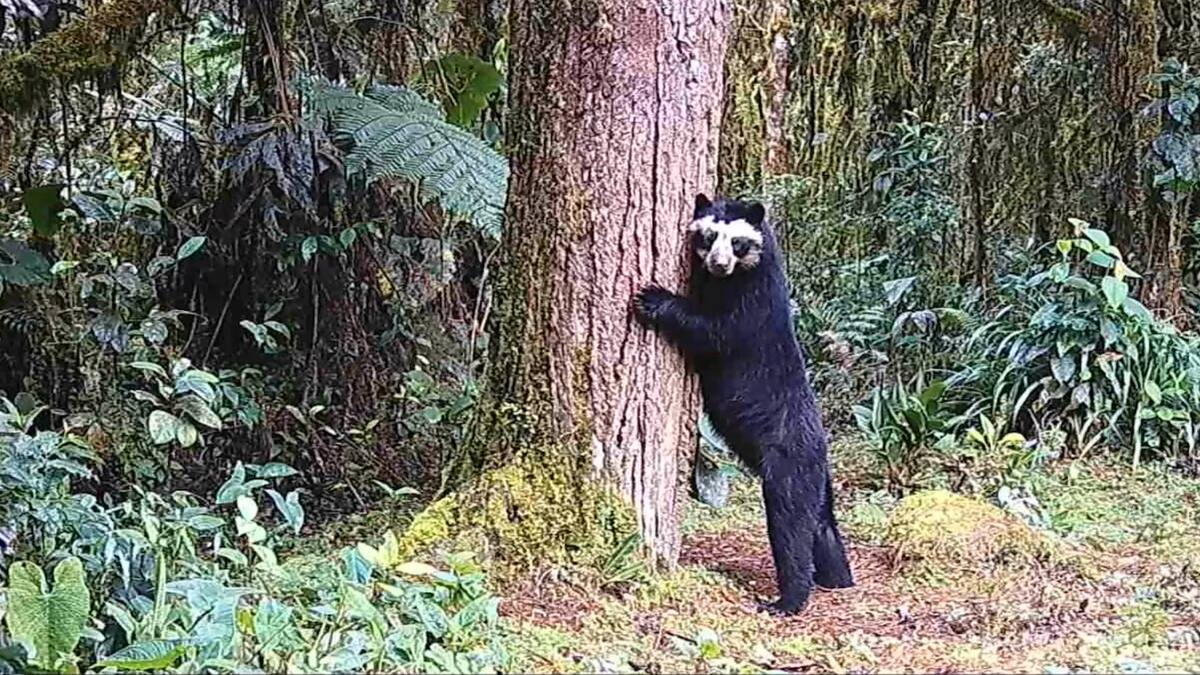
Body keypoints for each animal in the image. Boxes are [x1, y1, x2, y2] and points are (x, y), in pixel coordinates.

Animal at [633, 193, 854, 615]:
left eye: (737, 242)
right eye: (708, 235)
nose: (718, 264)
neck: (735, 279)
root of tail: (819, 447)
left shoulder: (751, 307)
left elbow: (712, 330)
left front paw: (652, 298)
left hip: (786, 466)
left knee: (791, 525)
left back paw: (787, 600)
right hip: (816, 478)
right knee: (822, 524)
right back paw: (838, 580)